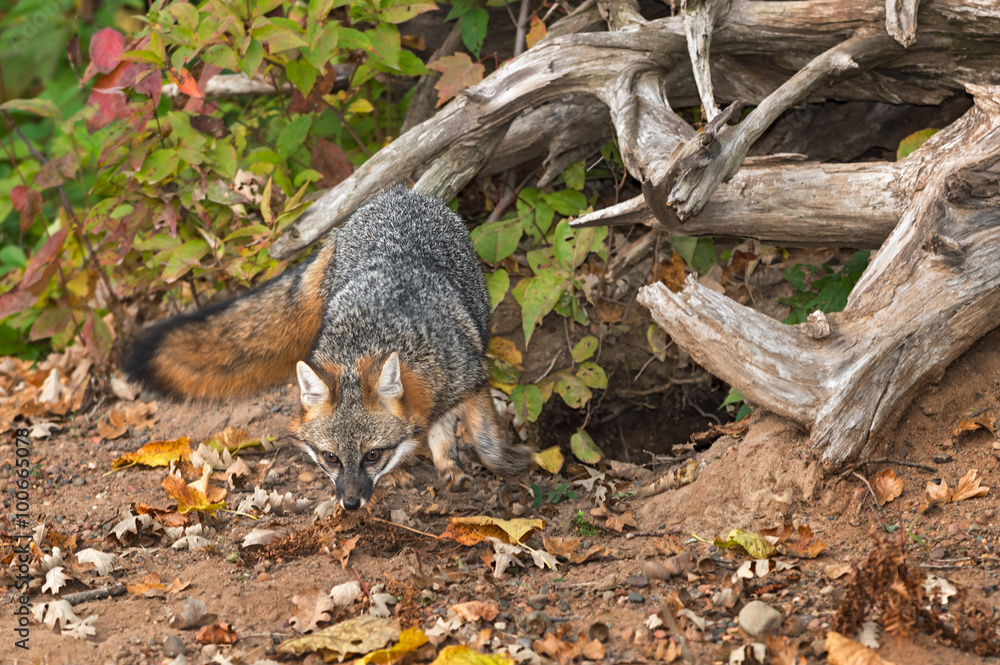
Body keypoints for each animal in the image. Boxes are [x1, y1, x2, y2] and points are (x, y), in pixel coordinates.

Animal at [123, 186, 532, 510]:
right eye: (330, 458)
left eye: (372, 455)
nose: (350, 503)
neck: (377, 334)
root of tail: (397, 193)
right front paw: (421, 468)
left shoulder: (472, 379)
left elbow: (487, 444)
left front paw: (509, 466)